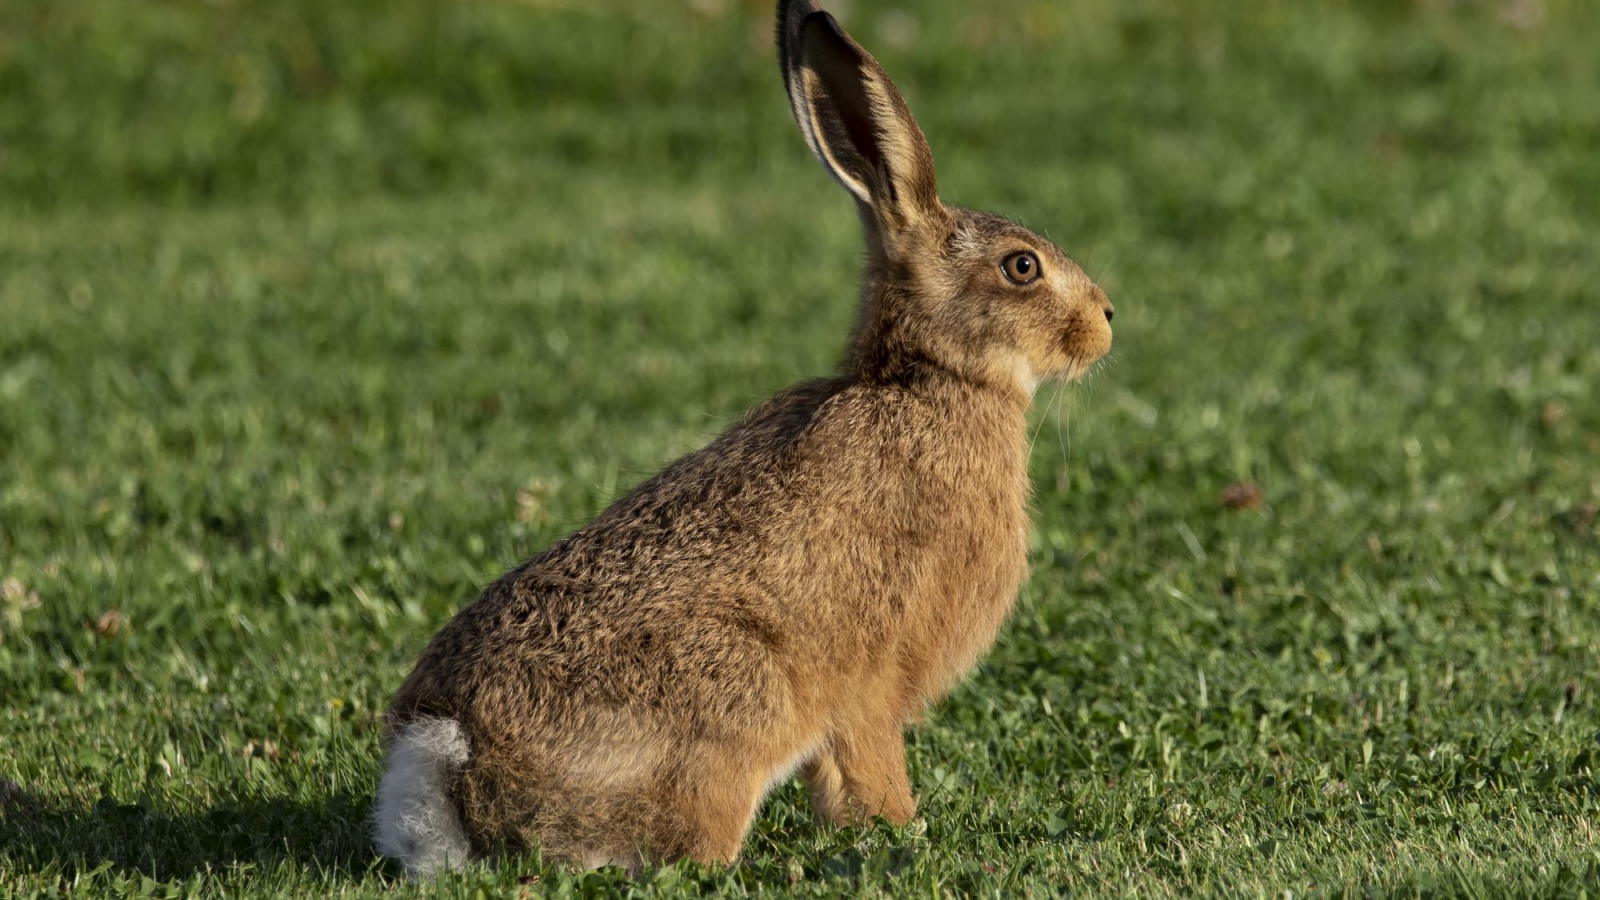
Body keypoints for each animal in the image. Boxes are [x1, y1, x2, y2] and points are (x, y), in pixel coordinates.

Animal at [374, 0, 1114, 878]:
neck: (928, 380)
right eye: (1022, 267)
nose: (1107, 322)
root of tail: (442, 756)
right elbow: (869, 762)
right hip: (737, 696)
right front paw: (903, 831)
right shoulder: (870, 678)